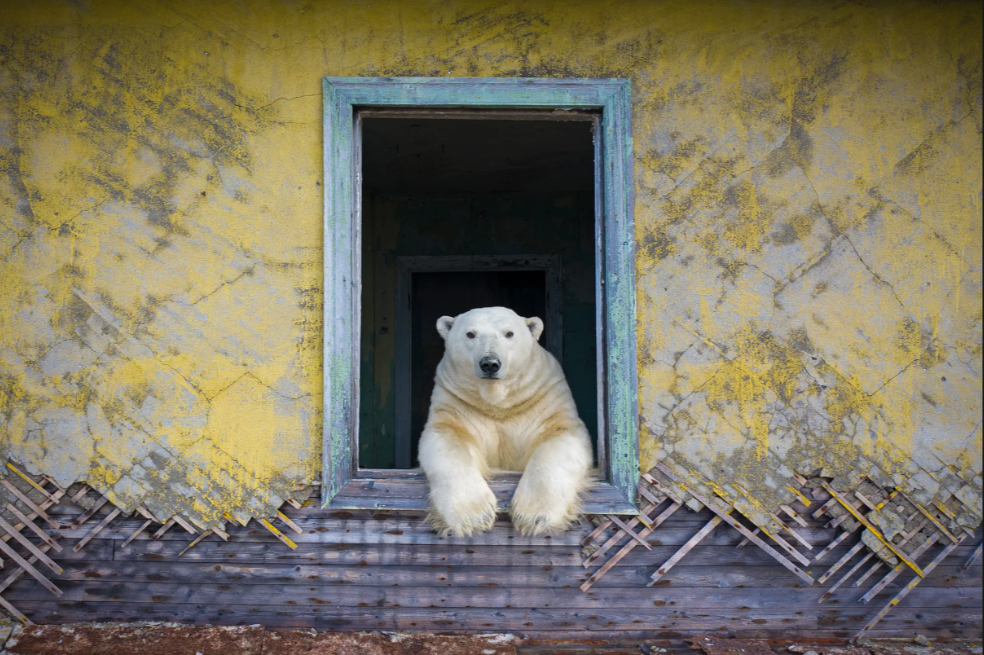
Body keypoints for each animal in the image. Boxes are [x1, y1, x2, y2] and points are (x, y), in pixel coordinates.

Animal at [418, 306, 594, 537]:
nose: (490, 363)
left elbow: (559, 437)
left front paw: (535, 516)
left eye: (509, 333)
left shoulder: (544, 397)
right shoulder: (456, 402)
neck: (499, 403)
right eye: (470, 334)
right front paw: (473, 517)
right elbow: (448, 439)